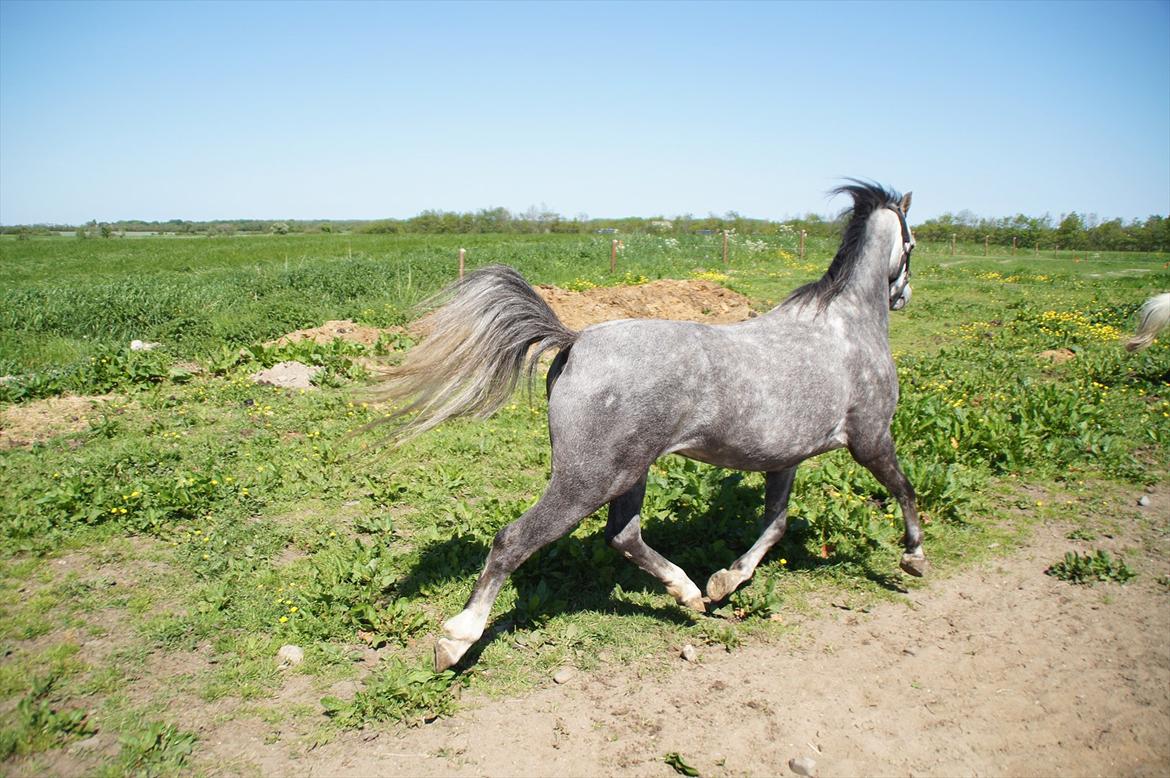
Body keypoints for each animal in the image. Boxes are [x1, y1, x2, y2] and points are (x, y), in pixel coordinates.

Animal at [371, 181, 923, 671]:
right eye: (911, 243)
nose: (904, 294)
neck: (845, 328)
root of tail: (575, 340)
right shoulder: (871, 439)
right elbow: (904, 489)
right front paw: (914, 558)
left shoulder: (784, 459)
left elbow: (775, 525)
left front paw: (725, 581)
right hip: (589, 479)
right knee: (515, 540)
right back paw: (456, 641)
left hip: (630, 472)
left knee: (623, 535)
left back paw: (690, 593)